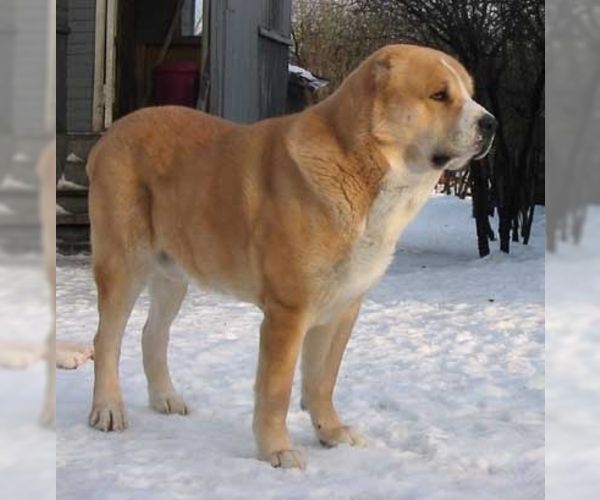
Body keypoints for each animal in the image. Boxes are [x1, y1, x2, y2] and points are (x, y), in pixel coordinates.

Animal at [85, 44, 496, 468]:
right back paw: (108, 410)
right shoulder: (288, 311)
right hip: (124, 264)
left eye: (468, 92)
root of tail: (109, 136)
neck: (361, 166)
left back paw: (165, 399)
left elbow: (323, 378)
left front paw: (331, 433)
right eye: (439, 95)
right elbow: (276, 389)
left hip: (172, 275)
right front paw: (277, 450)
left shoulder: (342, 308)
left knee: (153, 334)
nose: (491, 124)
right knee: (106, 340)